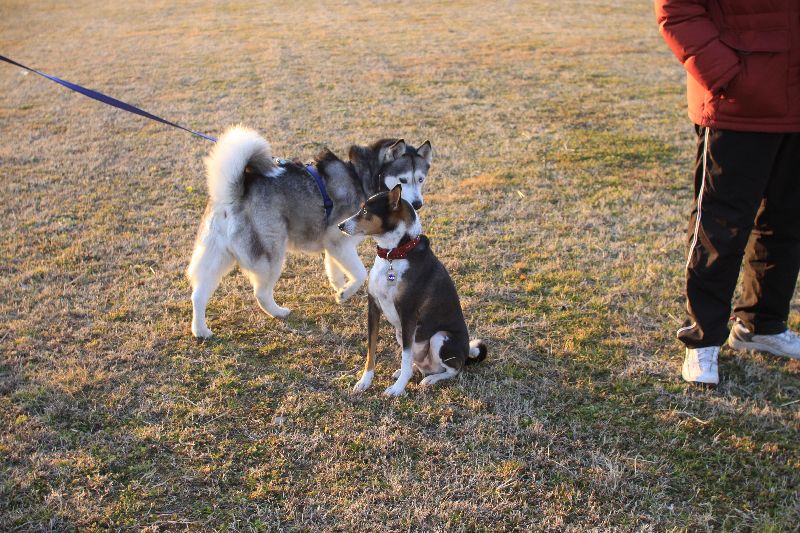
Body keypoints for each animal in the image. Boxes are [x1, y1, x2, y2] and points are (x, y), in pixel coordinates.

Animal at [187, 126, 432, 338]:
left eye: (420, 179)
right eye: (402, 180)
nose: (417, 204)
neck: (360, 177)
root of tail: (232, 193)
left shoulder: (334, 245)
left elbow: (335, 270)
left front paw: (340, 291)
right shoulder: (337, 239)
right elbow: (361, 273)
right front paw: (345, 292)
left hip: (217, 257)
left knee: (198, 293)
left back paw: (201, 331)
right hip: (272, 255)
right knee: (261, 293)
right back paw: (279, 312)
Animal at [338, 185, 487, 396]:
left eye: (366, 211)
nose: (340, 226)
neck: (394, 255)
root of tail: (466, 354)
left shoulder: (408, 314)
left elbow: (405, 357)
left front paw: (398, 388)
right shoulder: (373, 308)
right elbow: (371, 351)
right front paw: (365, 381)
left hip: (440, 337)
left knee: (454, 369)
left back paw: (431, 379)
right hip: (401, 333)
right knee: (417, 363)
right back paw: (408, 371)